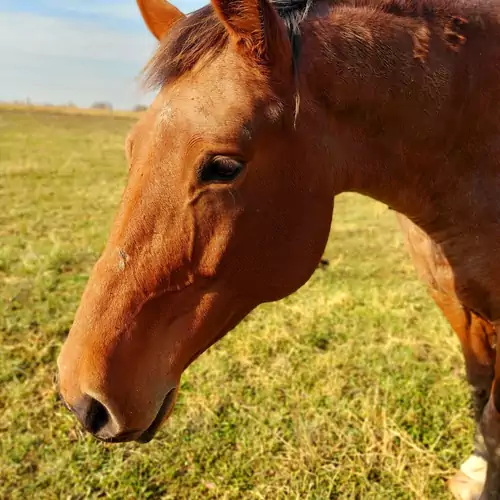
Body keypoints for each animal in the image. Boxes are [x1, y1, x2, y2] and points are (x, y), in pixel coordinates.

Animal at [58, 0, 500, 496]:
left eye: (224, 166)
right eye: (132, 147)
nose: (80, 398)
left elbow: (495, 414)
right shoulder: (452, 300)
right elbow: (479, 388)